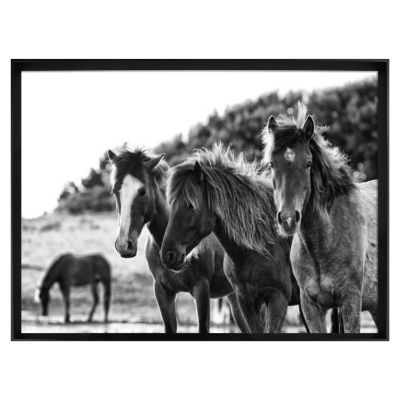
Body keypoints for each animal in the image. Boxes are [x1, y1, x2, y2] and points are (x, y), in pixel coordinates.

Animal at [108, 148, 248, 332]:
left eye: (142, 191)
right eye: (114, 190)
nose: (124, 245)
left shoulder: (201, 290)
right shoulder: (162, 293)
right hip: (234, 299)